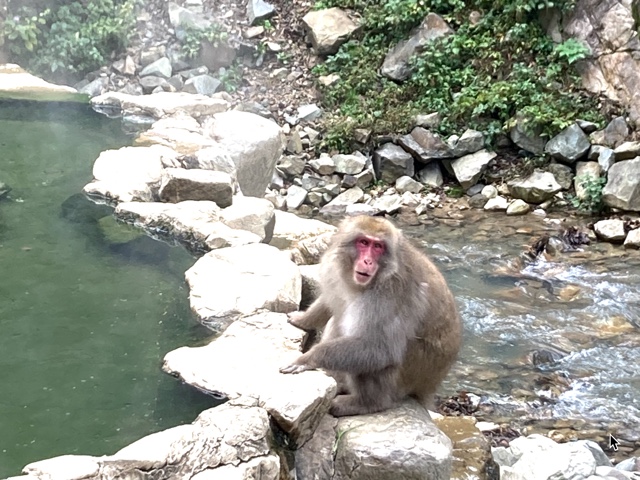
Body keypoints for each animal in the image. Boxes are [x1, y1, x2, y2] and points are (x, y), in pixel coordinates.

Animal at [280, 215, 462, 417]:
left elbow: (380, 348)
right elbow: (332, 303)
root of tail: (429, 388)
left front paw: (307, 359)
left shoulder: (390, 293)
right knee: (339, 320)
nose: (367, 261)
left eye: (378, 246)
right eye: (364, 242)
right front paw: (301, 320)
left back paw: (365, 403)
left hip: (403, 382)